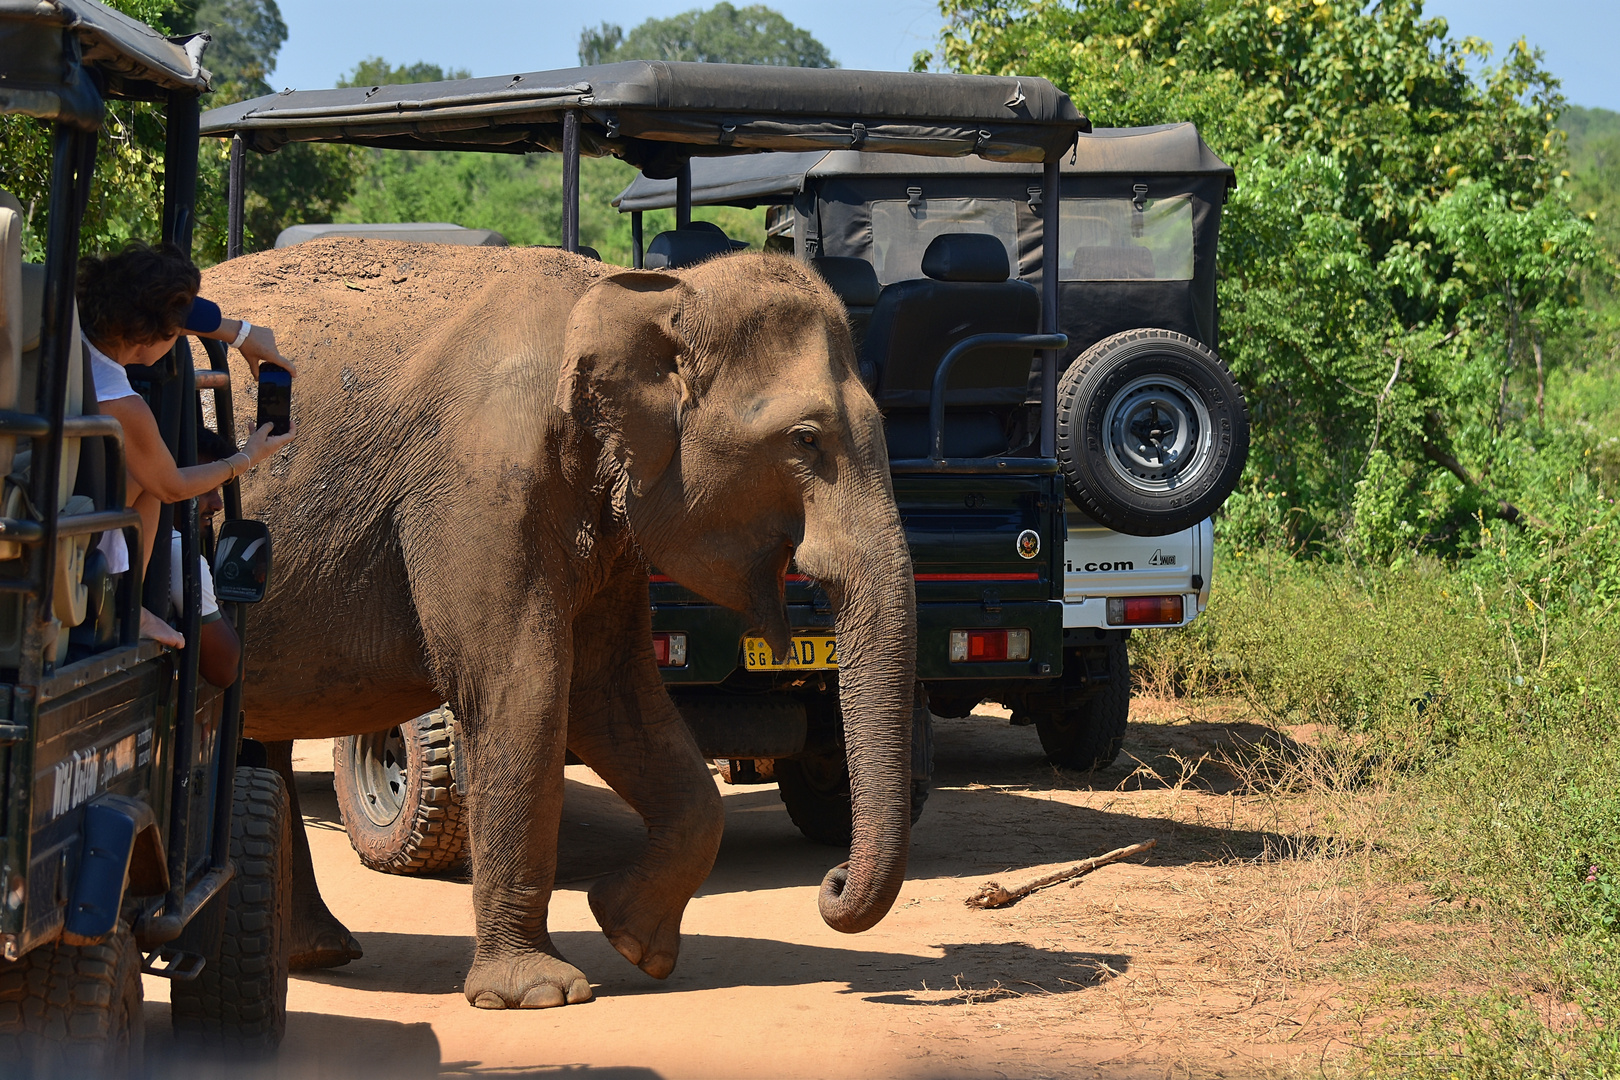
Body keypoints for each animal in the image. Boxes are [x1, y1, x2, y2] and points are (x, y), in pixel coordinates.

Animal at [196, 241, 920, 1010]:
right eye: (805, 439)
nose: (831, 883)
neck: (636, 294)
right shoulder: (482, 481)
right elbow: (523, 688)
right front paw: (539, 994)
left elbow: (612, 693)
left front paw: (634, 940)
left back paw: (321, 952)